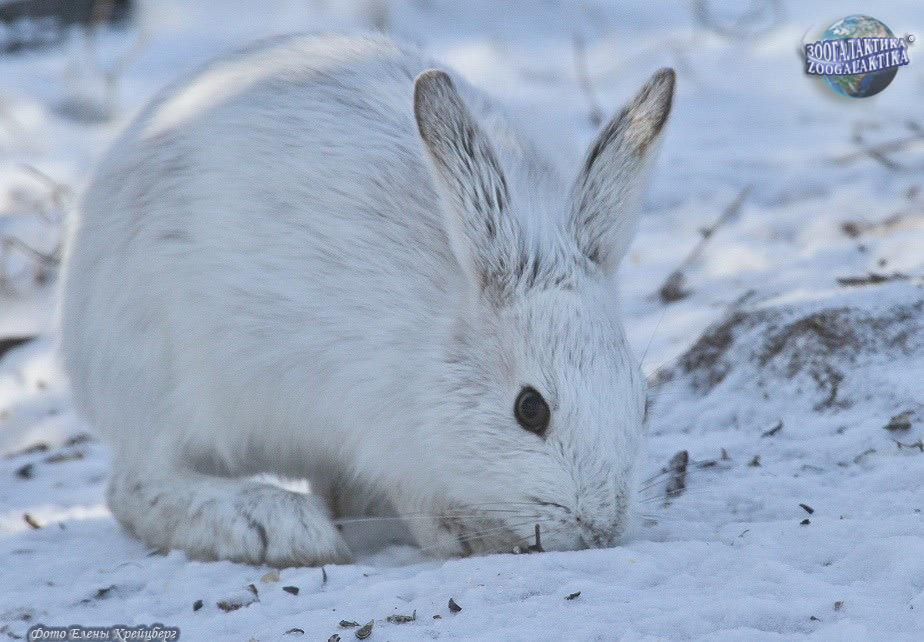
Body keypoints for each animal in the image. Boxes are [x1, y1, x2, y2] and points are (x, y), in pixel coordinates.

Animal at [58, 33, 674, 567]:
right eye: (530, 410)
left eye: (643, 400)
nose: (603, 526)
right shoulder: (376, 426)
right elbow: (421, 504)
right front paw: (474, 537)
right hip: (170, 381)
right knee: (136, 483)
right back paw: (276, 526)